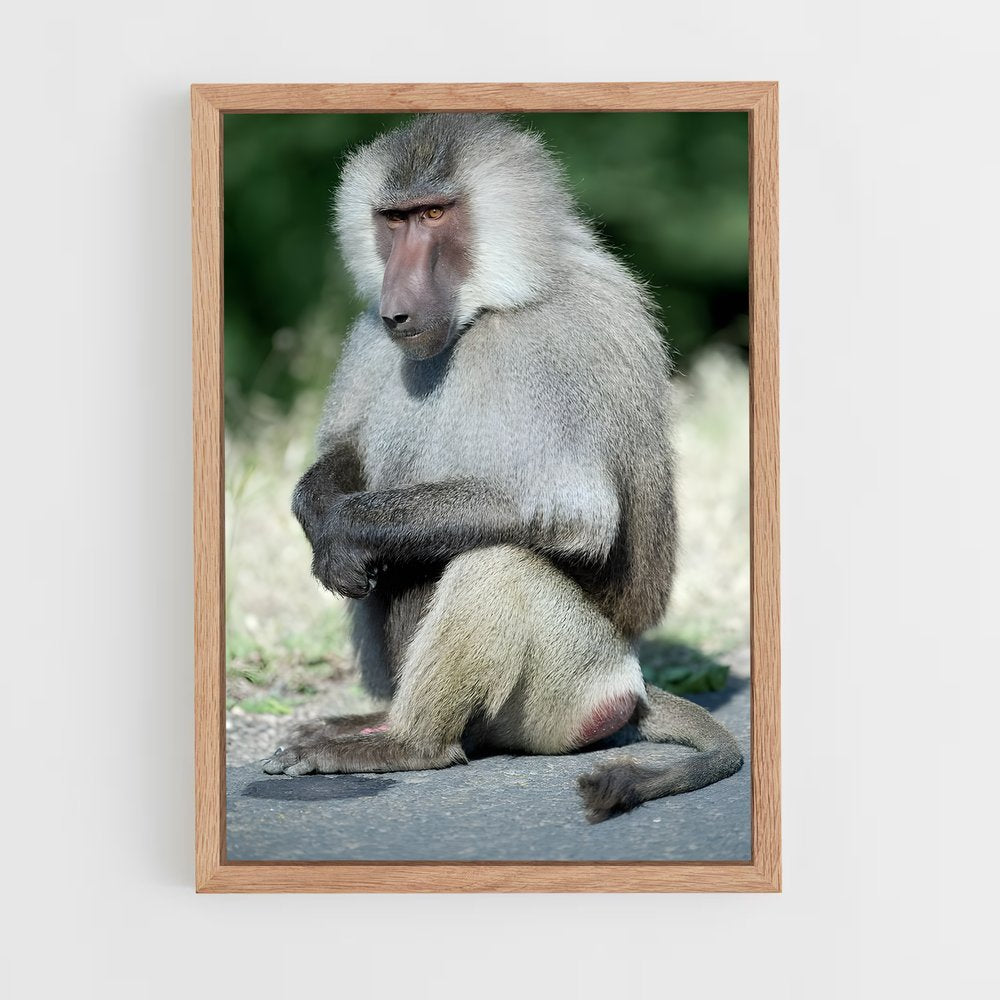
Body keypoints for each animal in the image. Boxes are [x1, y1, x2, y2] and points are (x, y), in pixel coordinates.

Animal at [262, 113, 743, 823]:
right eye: (394, 219)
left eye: (434, 215)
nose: (397, 307)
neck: (486, 311)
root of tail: (632, 688)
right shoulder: (371, 338)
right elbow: (345, 454)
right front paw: (321, 517)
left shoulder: (557, 345)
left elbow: (573, 516)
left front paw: (345, 533)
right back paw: (372, 722)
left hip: (572, 683)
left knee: (499, 562)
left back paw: (404, 744)